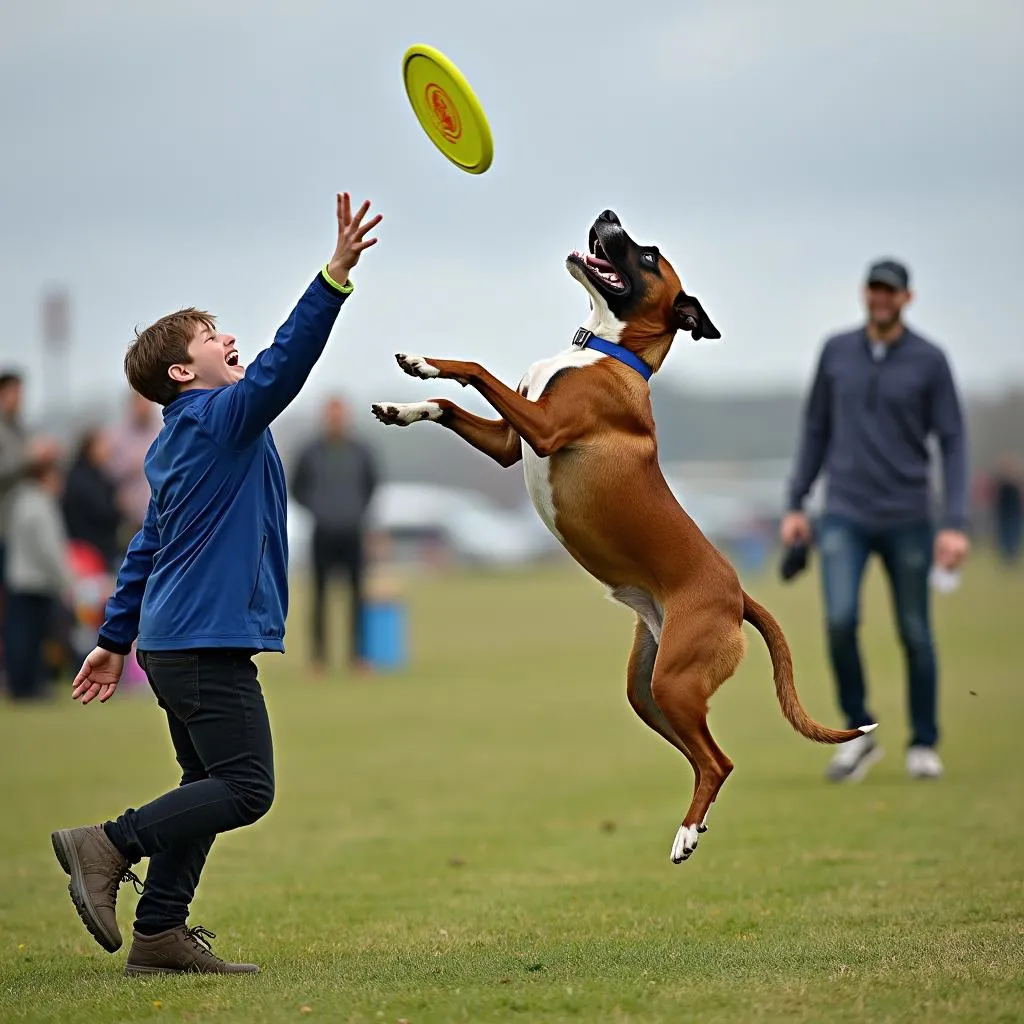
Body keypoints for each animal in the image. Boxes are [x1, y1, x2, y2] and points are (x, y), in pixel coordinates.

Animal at [372, 209, 876, 864]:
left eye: (649, 254)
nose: (608, 216)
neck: (603, 350)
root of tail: (739, 596)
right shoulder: (511, 444)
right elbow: (445, 404)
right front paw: (407, 400)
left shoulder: (544, 427)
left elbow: (477, 370)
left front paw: (431, 363)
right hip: (650, 690)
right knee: (702, 759)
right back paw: (694, 825)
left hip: (677, 682)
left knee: (718, 760)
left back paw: (687, 832)